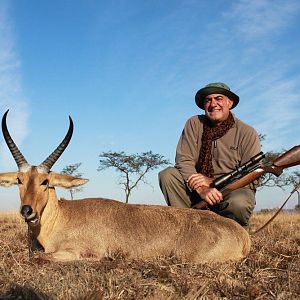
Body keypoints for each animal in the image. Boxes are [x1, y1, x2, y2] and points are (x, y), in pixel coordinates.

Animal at [0, 110, 251, 262]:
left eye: (45, 181)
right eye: (19, 180)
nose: (27, 211)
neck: (62, 217)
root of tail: (241, 233)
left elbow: (38, 256)